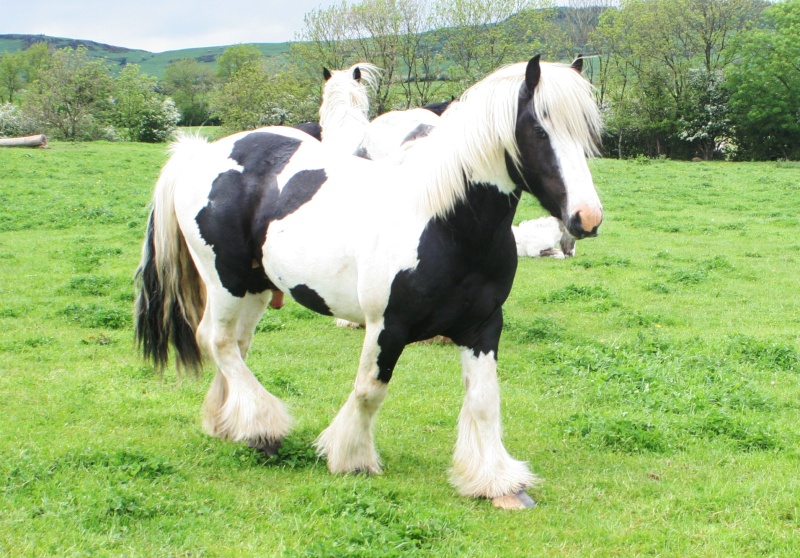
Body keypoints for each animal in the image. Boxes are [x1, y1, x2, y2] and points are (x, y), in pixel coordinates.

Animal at [136, 55, 600, 512]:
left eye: (587, 131)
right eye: (539, 130)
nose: (587, 218)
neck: (442, 223)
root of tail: (201, 154)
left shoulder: (483, 325)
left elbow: (484, 400)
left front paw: (497, 482)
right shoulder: (386, 326)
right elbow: (369, 391)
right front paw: (350, 457)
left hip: (256, 285)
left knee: (233, 344)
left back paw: (228, 423)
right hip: (226, 280)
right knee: (219, 342)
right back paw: (262, 429)